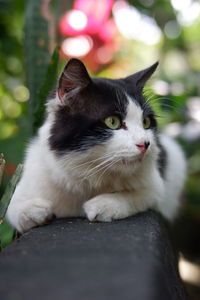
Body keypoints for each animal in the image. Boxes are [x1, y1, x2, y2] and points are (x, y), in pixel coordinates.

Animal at [6, 58, 188, 232]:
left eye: (146, 122)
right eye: (113, 122)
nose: (145, 144)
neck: (88, 175)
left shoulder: (156, 187)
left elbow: (140, 194)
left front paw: (105, 203)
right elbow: (13, 207)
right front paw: (33, 210)